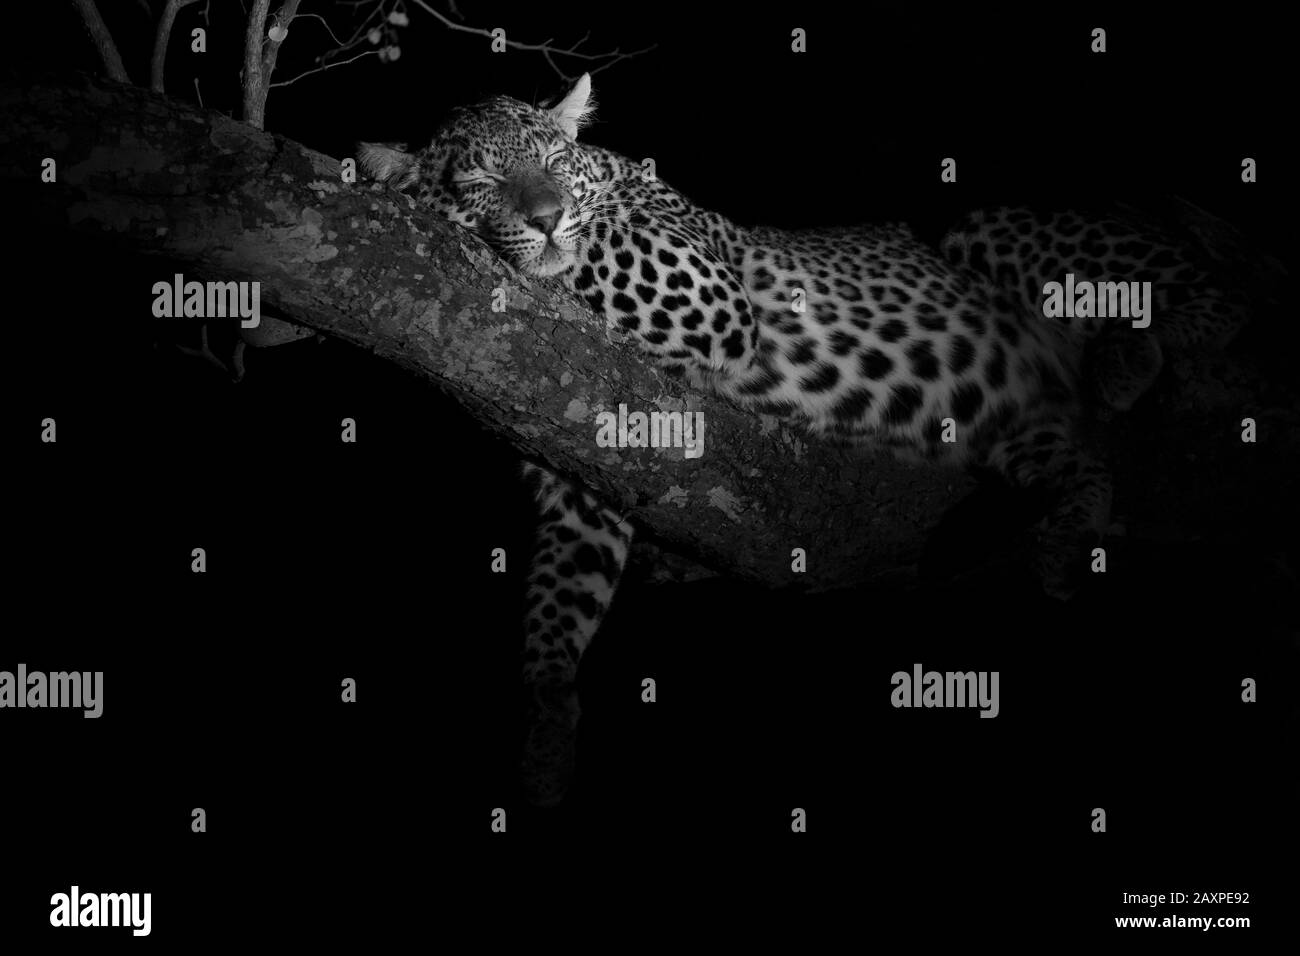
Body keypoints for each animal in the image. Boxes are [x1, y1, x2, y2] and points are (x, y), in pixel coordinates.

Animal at [358, 74, 1243, 807]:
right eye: (484, 179)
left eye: (548, 159)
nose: (543, 217)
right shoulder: (581, 471)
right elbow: (557, 603)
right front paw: (544, 737)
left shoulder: (703, 290)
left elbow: (588, 246)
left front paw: (415, 186)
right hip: (1018, 426)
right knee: (1081, 464)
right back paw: (1065, 537)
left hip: (994, 226)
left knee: (1217, 299)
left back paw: (1137, 358)